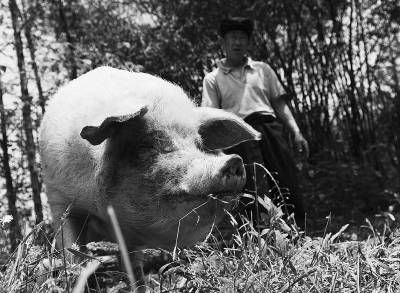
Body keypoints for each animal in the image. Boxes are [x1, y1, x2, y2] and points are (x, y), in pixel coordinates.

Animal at [39, 65, 260, 286]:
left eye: (198, 144)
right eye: (149, 146)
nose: (234, 161)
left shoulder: (130, 238)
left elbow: (133, 269)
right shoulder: (60, 200)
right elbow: (72, 254)